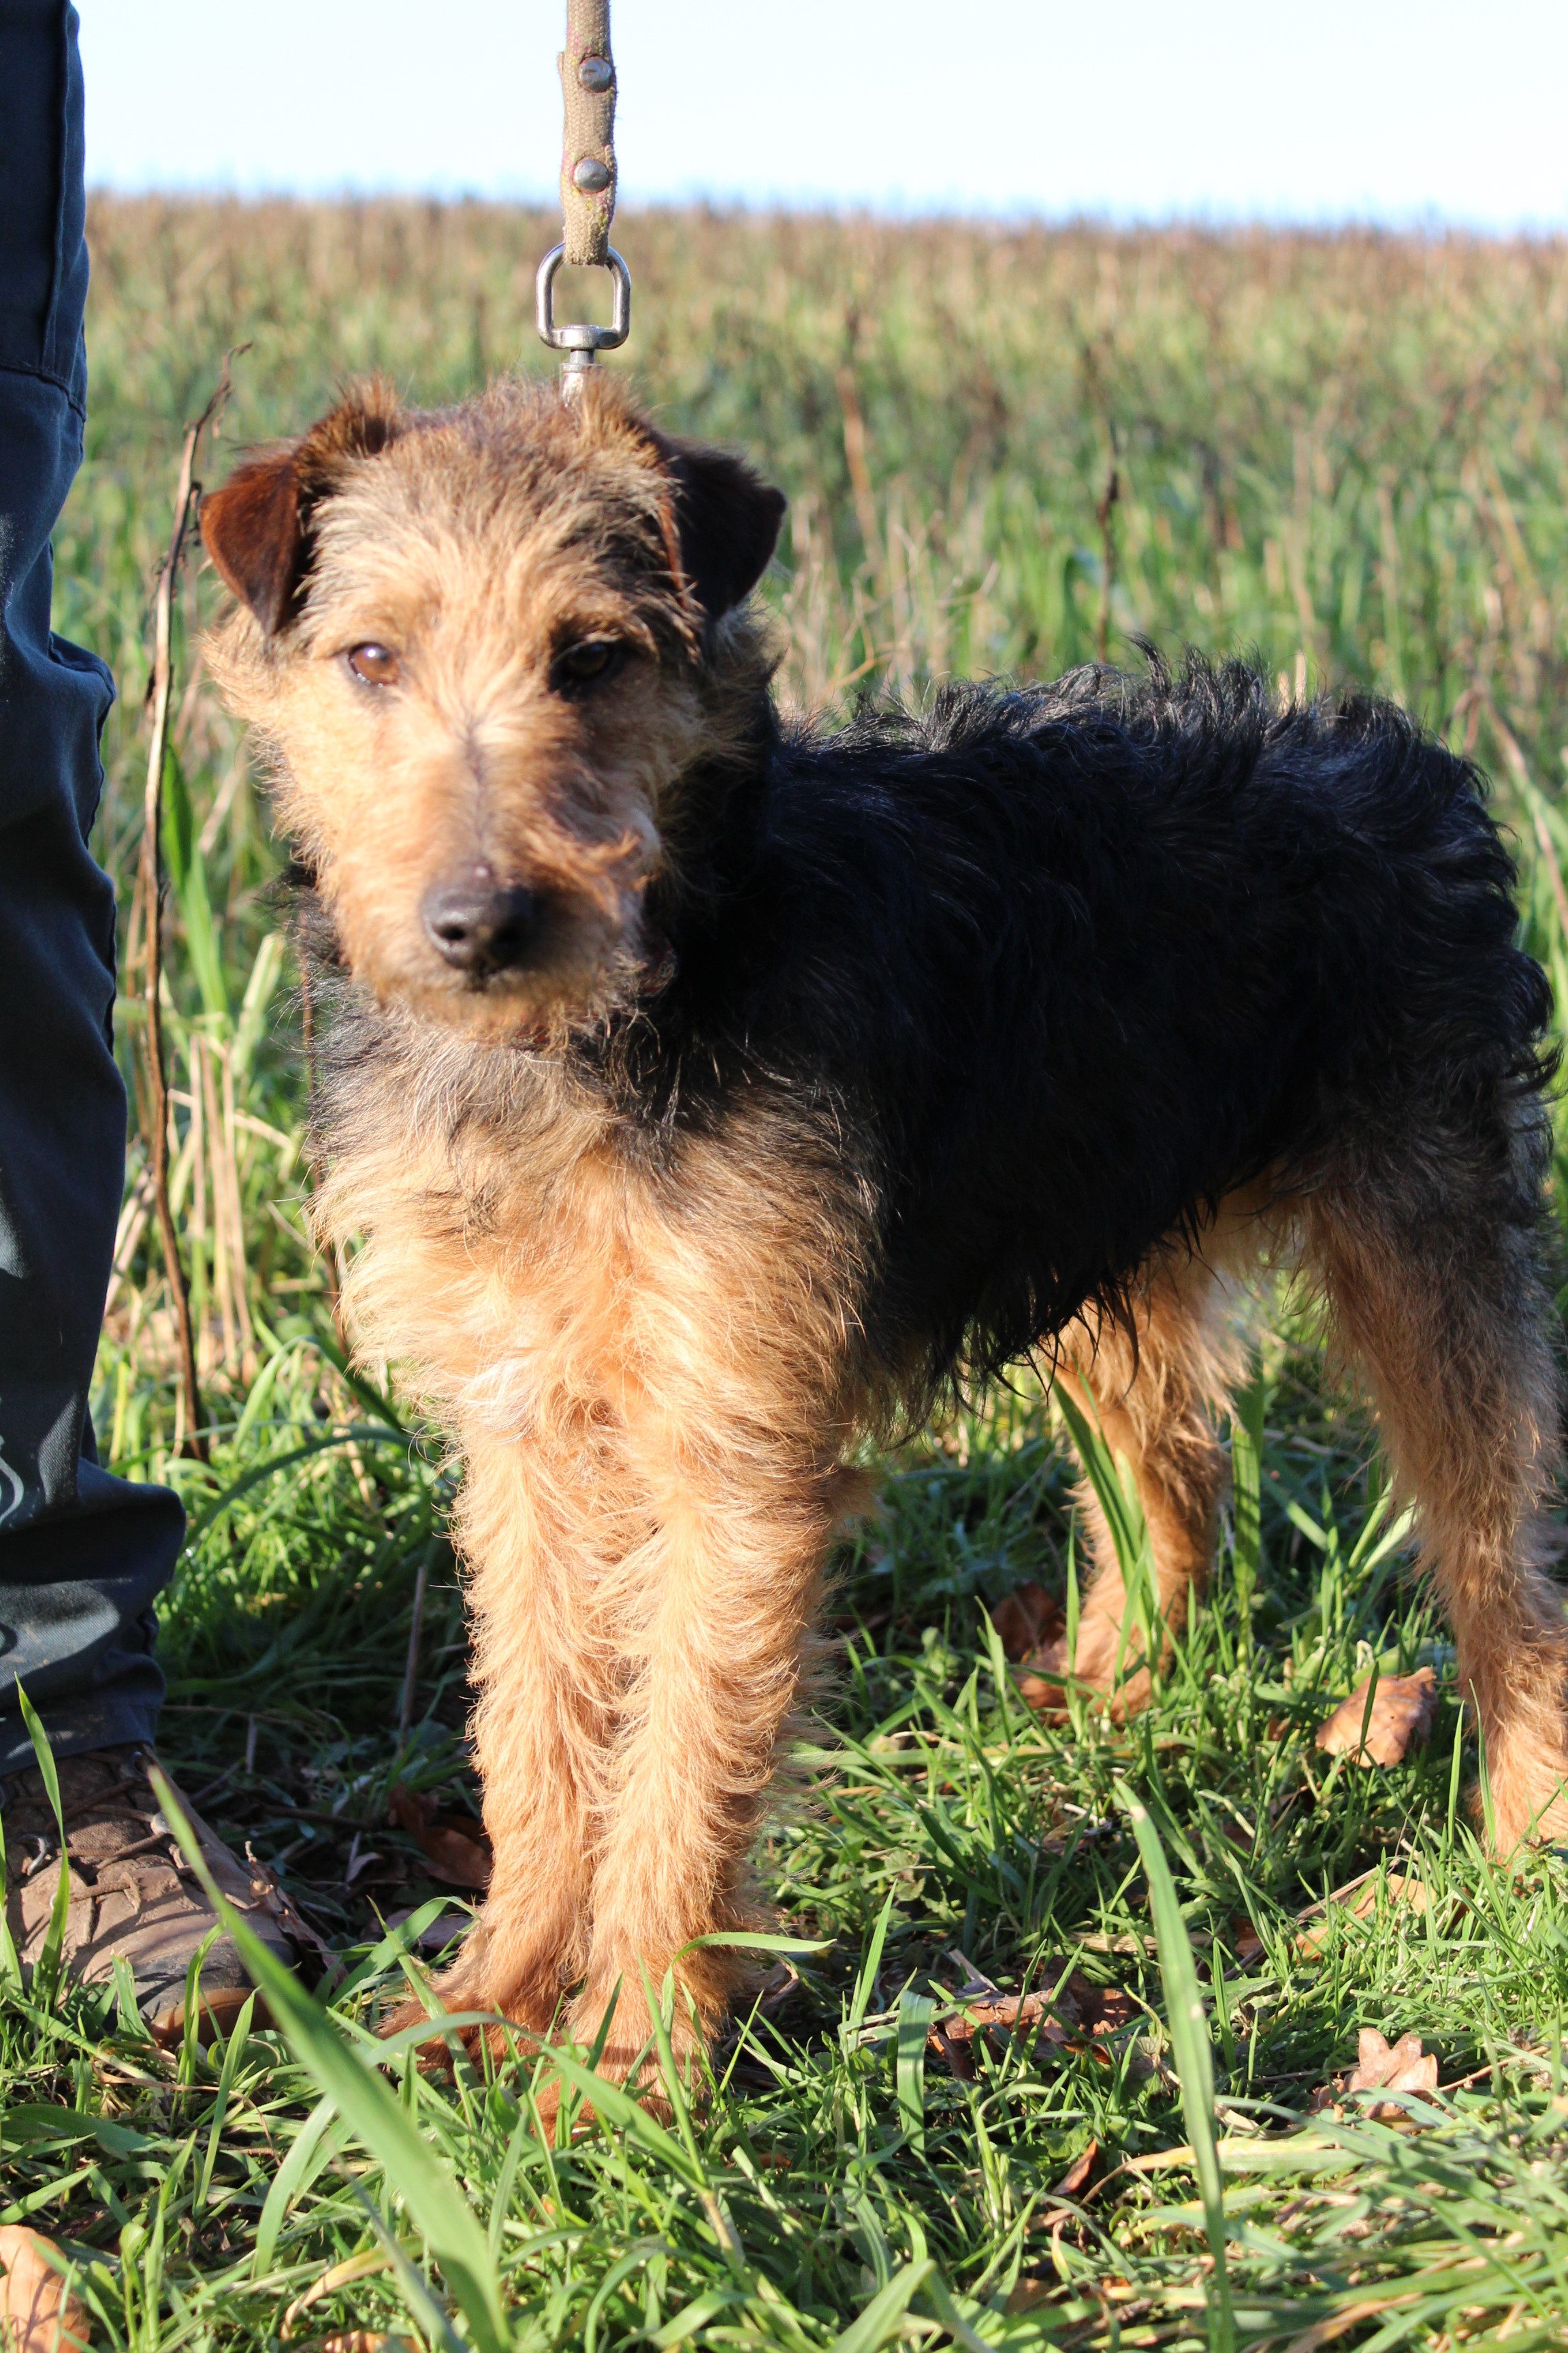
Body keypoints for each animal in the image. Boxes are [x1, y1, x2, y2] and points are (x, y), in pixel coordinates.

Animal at [201, 376, 1563, 2089]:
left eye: (593, 656)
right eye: (371, 659)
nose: (482, 924)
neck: (608, 1029)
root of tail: (1403, 760)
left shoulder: (732, 1447)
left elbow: (683, 1768)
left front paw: (633, 2067)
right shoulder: (522, 1432)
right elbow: (538, 1735)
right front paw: (492, 1999)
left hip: (1427, 1248)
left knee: (1495, 1547)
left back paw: (1521, 1824)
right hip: (1101, 1221)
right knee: (1177, 1460)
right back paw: (1114, 1692)